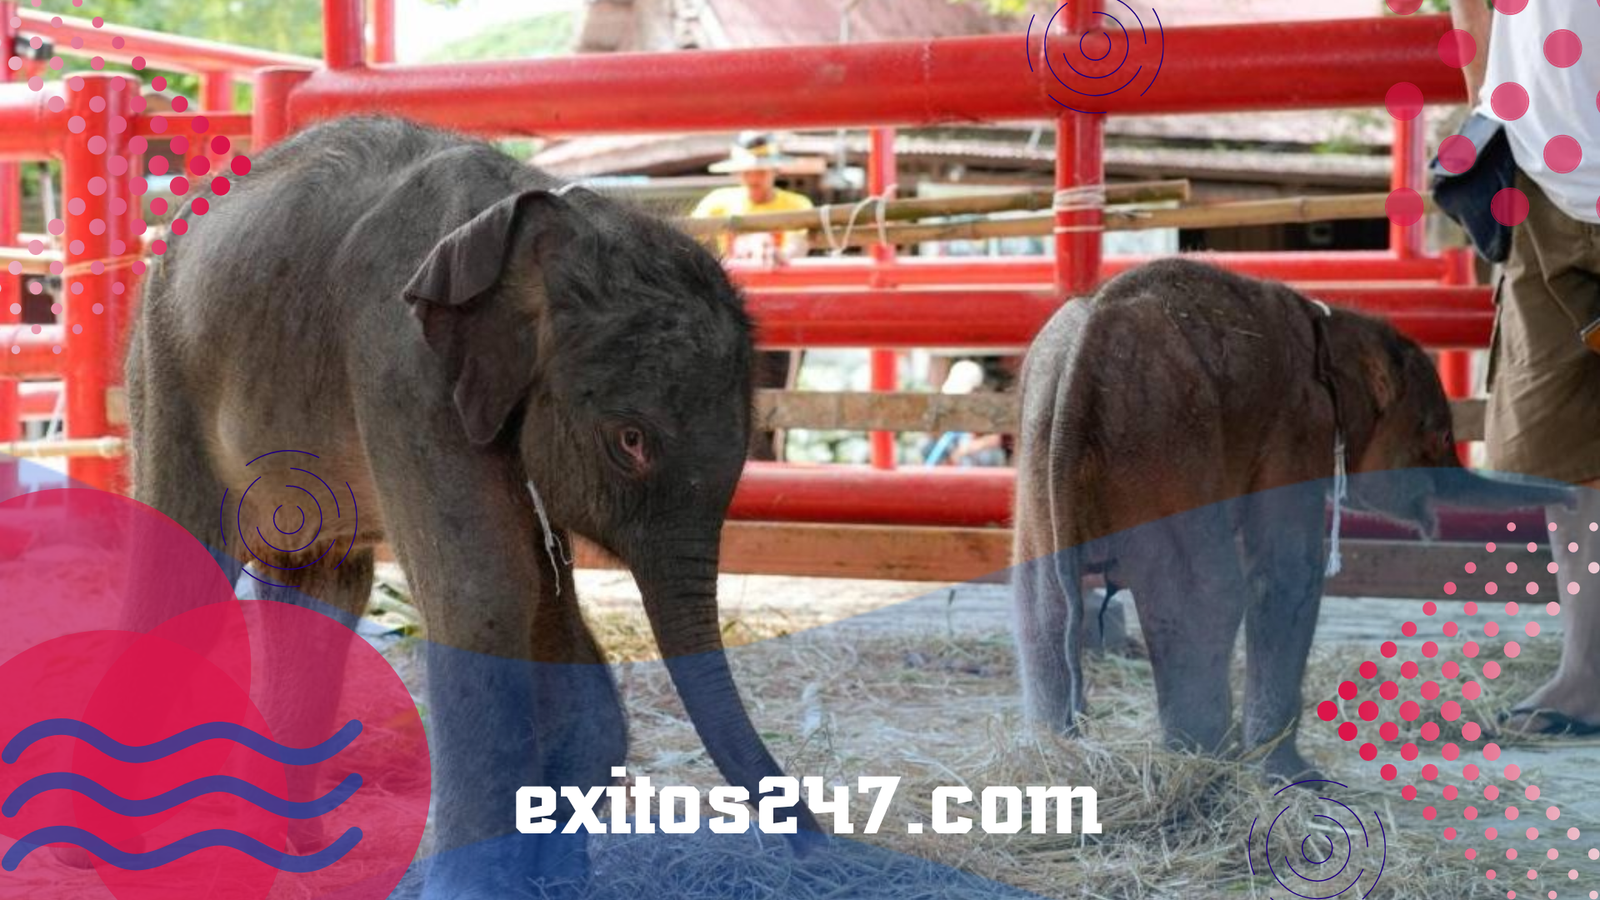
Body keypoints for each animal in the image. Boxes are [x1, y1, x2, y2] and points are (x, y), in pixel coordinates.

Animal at [118, 115, 821, 897]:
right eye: (631, 441)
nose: (822, 847)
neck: (543, 216)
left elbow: (546, 609)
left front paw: (558, 875)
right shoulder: (402, 365)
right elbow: (486, 596)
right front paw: (475, 887)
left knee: (321, 581)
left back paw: (301, 852)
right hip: (165, 364)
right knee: (185, 570)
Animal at [1010, 257, 1575, 782]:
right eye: (1438, 436)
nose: (1572, 498)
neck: (1331, 322)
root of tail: (1084, 355)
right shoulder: (1299, 427)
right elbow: (1287, 576)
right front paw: (1297, 779)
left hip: (1043, 445)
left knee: (1043, 606)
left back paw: (1055, 759)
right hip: (1162, 442)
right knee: (1207, 596)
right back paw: (1210, 771)